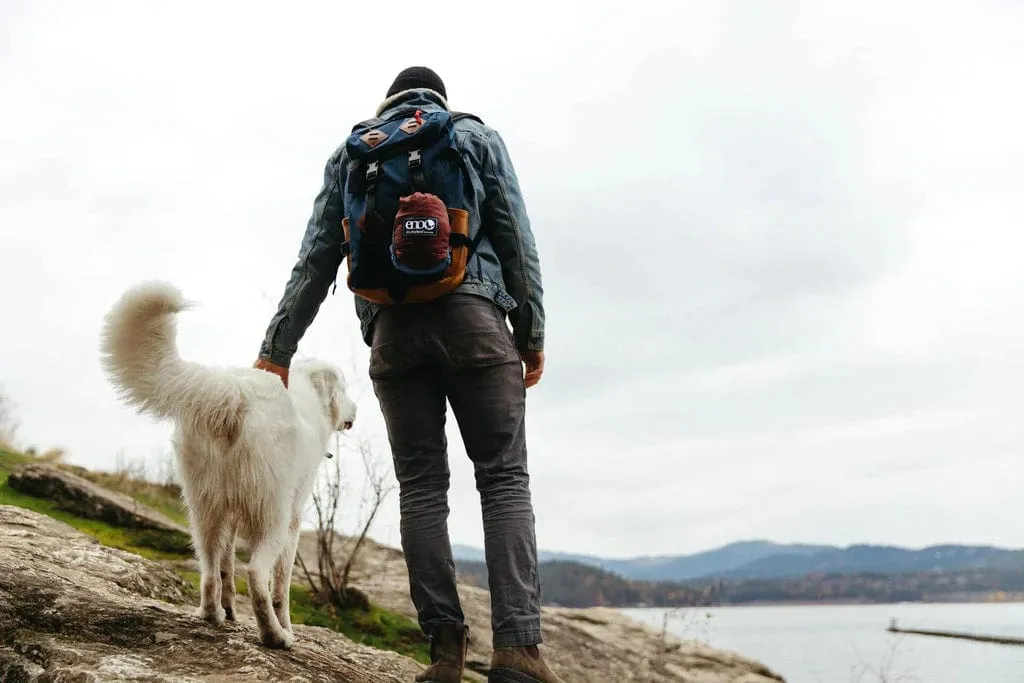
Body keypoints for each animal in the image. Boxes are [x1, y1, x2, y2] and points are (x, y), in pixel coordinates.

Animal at [99, 280, 356, 651]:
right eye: (345, 389)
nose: (355, 411)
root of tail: (234, 391)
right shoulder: (293, 521)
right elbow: (281, 586)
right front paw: (286, 624)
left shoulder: (231, 518)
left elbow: (226, 567)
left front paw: (231, 609)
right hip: (273, 516)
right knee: (257, 575)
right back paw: (275, 635)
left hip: (203, 509)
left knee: (209, 570)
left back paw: (212, 614)